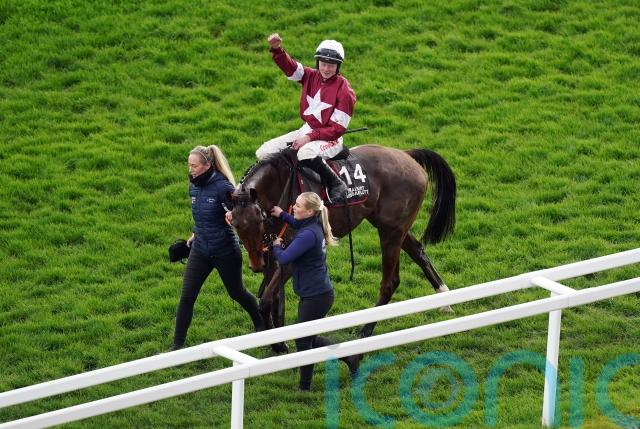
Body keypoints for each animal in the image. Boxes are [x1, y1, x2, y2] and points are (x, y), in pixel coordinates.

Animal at [230, 144, 456, 345]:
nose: (255, 264)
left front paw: (278, 345)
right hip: (390, 226)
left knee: (390, 282)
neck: (280, 185)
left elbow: (266, 299)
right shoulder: (271, 252)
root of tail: (406, 154)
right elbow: (271, 296)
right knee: (417, 251)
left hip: (391, 231)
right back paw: (444, 297)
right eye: (235, 223)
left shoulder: (293, 254)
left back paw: (366, 329)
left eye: (259, 220)